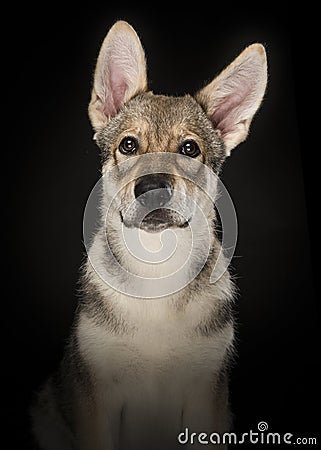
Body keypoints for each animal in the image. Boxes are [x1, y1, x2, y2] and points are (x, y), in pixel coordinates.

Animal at [30, 19, 266, 448]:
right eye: (128, 145)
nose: (152, 186)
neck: (157, 269)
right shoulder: (98, 400)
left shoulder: (206, 398)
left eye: (189, 149)